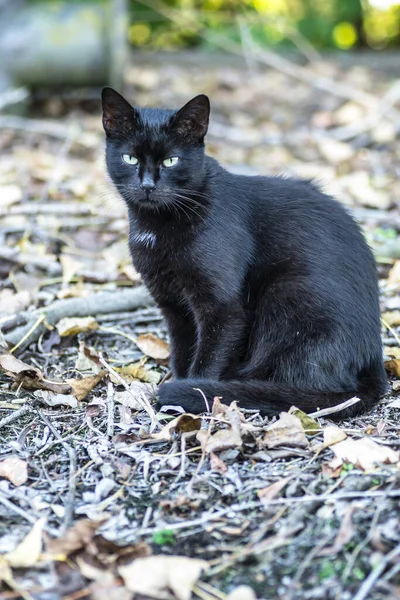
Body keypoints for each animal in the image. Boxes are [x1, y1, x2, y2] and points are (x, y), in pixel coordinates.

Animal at [101, 88, 386, 418]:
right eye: (129, 158)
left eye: (172, 160)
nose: (147, 185)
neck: (158, 225)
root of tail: (374, 358)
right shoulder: (172, 304)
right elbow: (183, 350)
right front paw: (183, 379)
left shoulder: (224, 308)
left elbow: (208, 356)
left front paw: (193, 391)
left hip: (289, 292)